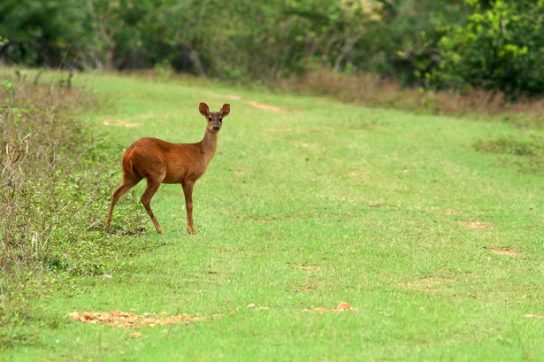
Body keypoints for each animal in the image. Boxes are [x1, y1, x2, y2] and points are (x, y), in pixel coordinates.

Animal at [103, 103, 230, 236]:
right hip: (156, 172)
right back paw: (160, 229)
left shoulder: (183, 180)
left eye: (221, 118)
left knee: (116, 193)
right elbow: (189, 204)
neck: (202, 153)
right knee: (144, 198)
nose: (216, 127)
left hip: (131, 174)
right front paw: (192, 230)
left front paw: (189, 229)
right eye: (209, 118)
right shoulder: (189, 178)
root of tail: (130, 150)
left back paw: (106, 227)